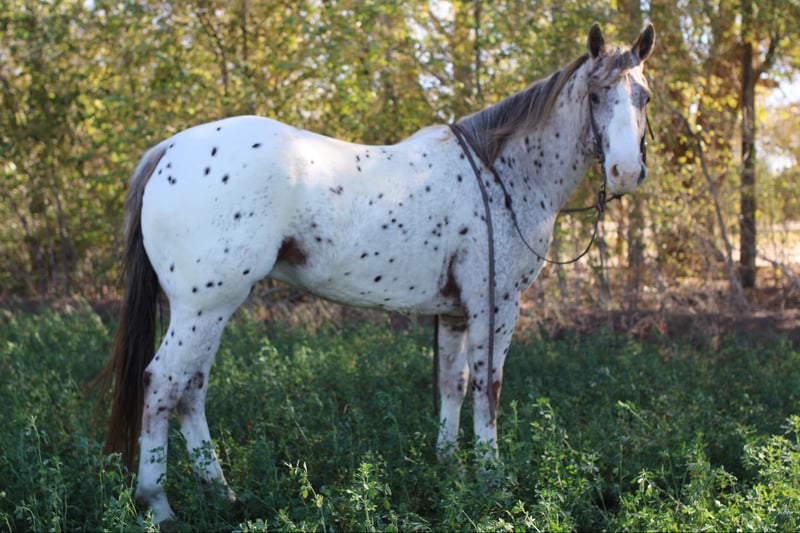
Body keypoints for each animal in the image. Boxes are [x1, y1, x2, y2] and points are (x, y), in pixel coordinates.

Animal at [100, 23, 655, 523]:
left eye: (644, 96)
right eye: (596, 94)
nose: (626, 172)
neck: (501, 172)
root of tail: (171, 149)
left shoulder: (455, 313)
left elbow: (453, 383)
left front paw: (449, 468)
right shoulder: (495, 306)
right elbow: (487, 388)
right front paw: (491, 480)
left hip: (208, 310)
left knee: (190, 390)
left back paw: (222, 493)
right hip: (203, 307)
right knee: (162, 384)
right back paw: (159, 504)